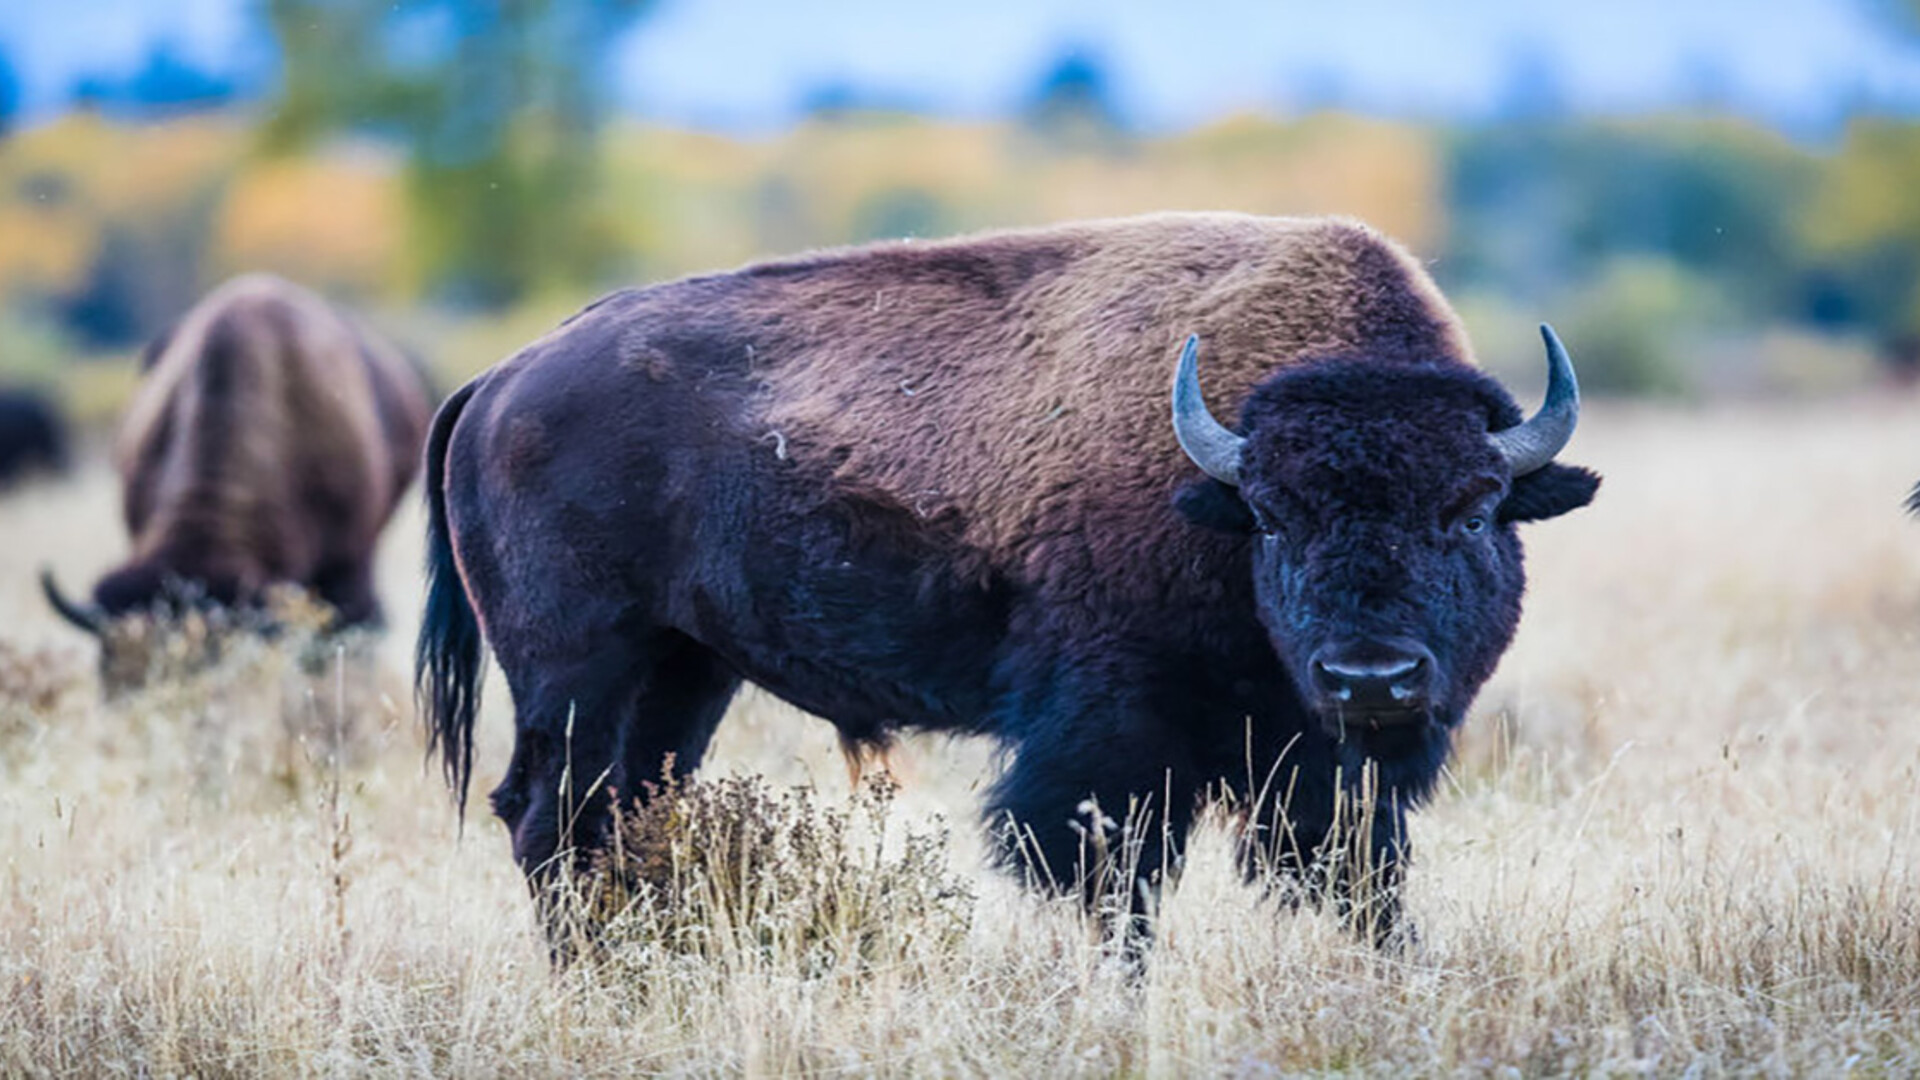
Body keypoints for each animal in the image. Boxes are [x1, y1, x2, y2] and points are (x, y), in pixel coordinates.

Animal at [418, 213, 1599, 941]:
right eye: (1272, 518)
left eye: (1471, 510)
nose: (1371, 678)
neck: (1208, 480)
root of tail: (502, 378)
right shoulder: (1111, 741)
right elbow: (1109, 881)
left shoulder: (1318, 769)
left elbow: (1360, 884)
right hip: (577, 670)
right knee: (550, 822)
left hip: (682, 673)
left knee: (623, 820)